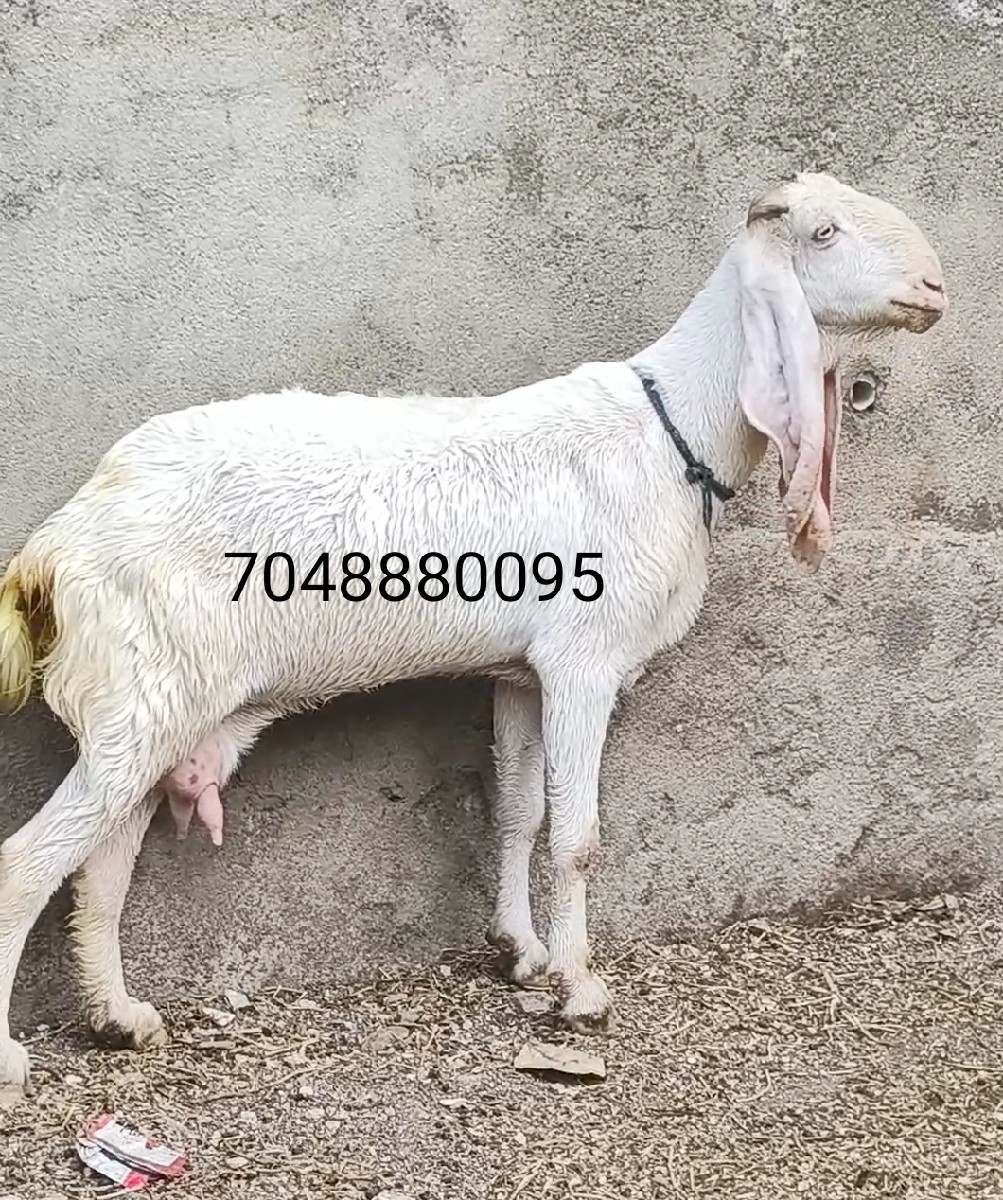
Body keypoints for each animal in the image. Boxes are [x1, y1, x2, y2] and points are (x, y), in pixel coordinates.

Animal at [0, 170, 947, 1101]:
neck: (667, 429)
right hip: (145, 688)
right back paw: (17, 1062)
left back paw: (119, 1018)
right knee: (27, 863)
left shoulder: (522, 674)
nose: (934, 287)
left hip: (156, 697)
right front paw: (579, 990)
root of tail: (53, 546)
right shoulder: (582, 661)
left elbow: (521, 813)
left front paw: (520, 953)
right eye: (822, 232)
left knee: (102, 863)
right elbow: (577, 837)